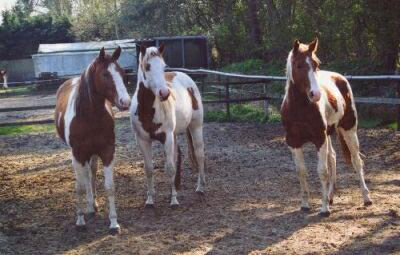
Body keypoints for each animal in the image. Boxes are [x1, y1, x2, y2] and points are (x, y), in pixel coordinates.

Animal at [54, 46, 130, 233]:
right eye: (105, 74)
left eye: (122, 72)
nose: (125, 101)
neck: (89, 116)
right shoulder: (78, 153)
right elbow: (80, 187)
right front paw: (80, 220)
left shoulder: (107, 151)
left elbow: (109, 187)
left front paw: (114, 223)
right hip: (80, 155)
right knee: (85, 176)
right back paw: (88, 207)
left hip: (92, 154)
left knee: (91, 173)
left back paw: (93, 203)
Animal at [131, 43, 205, 207]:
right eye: (147, 66)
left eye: (163, 66)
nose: (164, 93)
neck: (148, 110)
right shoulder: (143, 140)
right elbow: (149, 169)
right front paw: (150, 200)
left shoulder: (167, 137)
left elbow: (170, 168)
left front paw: (174, 200)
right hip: (176, 135)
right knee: (178, 157)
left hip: (195, 127)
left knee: (199, 154)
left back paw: (200, 187)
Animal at [282, 38, 372, 217]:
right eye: (299, 65)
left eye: (316, 65)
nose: (315, 94)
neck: (300, 109)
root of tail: (340, 78)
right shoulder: (293, 142)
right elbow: (301, 171)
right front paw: (305, 205)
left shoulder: (319, 138)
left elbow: (322, 171)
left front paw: (324, 209)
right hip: (330, 134)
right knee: (333, 158)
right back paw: (330, 197)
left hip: (349, 130)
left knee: (356, 161)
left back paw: (366, 198)